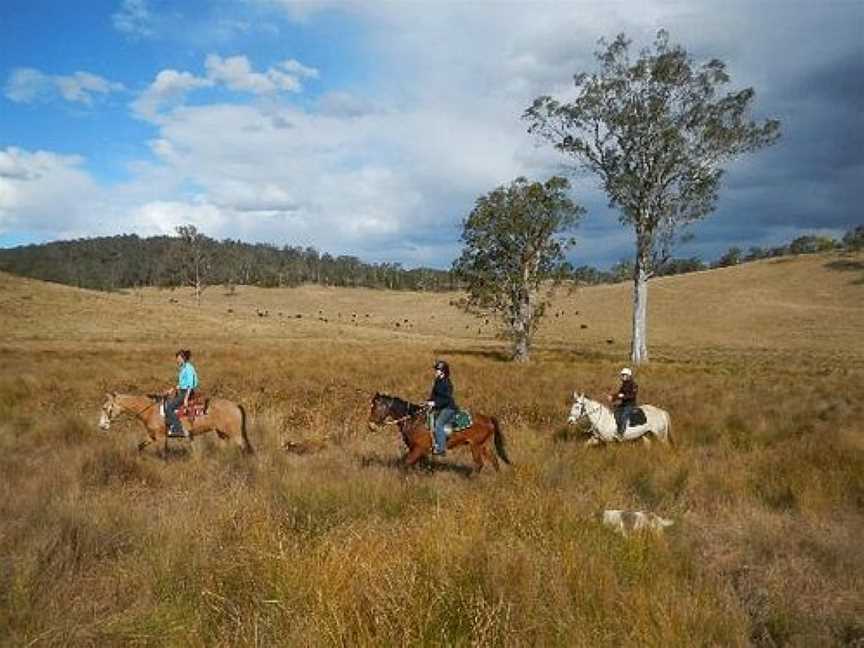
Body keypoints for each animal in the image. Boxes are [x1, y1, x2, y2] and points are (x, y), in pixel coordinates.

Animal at [99, 392, 253, 454]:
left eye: (105, 408)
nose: (101, 426)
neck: (150, 410)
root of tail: (236, 405)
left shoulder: (161, 436)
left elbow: (163, 453)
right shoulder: (152, 436)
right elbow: (140, 446)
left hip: (236, 433)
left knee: (244, 448)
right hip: (222, 433)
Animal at [366, 392, 512, 474]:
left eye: (376, 406)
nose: (371, 426)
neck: (413, 419)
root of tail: (488, 419)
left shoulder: (419, 449)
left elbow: (405, 463)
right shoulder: (415, 449)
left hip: (475, 446)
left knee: (479, 464)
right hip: (483, 445)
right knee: (494, 460)